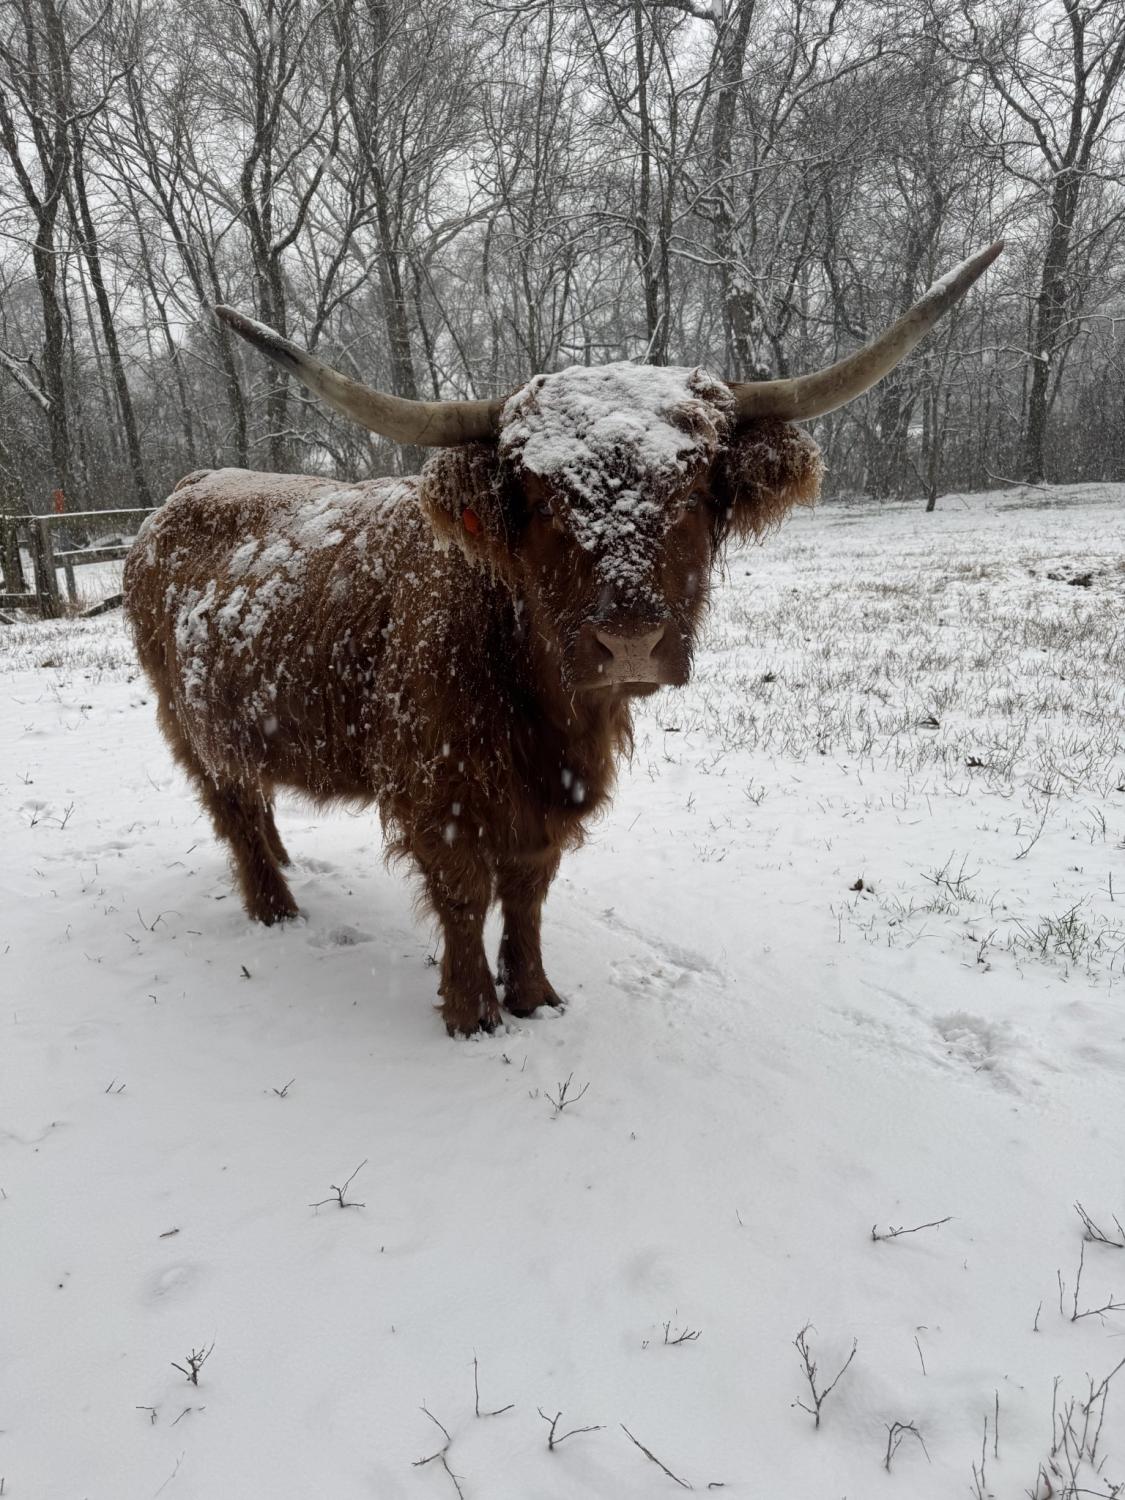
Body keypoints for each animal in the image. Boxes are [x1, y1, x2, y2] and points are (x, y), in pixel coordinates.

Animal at [123, 242, 1001, 1036]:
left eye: (694, 491)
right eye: (542, 500)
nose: (629, 642)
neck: (546, 703)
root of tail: (186, 490)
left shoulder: (550, 792)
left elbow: (528, 888)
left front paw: (535, 995)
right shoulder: (439, 787)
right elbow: (464, 893)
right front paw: (472, 1012)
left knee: (253, 795)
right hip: (183, 719)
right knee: (230, 804)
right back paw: (273, 905)